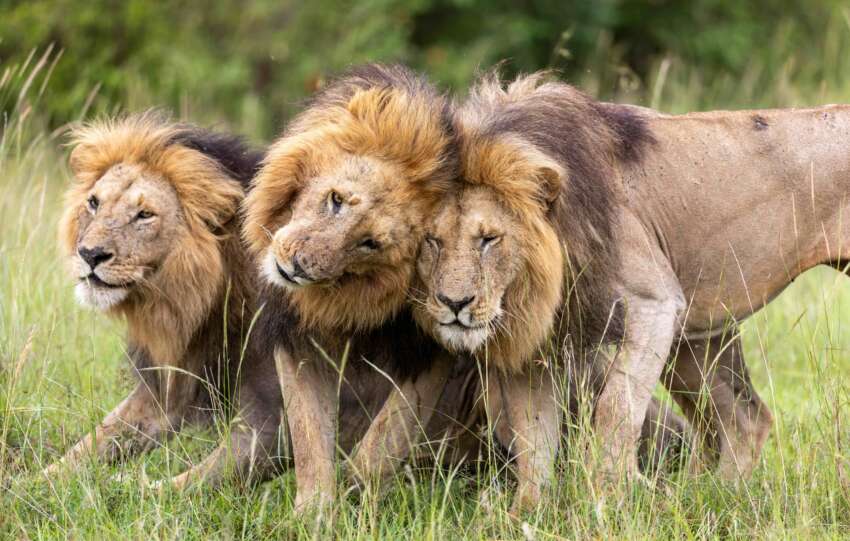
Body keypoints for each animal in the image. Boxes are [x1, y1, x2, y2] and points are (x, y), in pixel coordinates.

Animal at [412, 72, 773, 507]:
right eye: (432, 241)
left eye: (489, 239)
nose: (454, 303)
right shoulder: (535, 339)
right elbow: (532, 433)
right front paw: (528, 510)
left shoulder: (656, 303)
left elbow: (615, 407)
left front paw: (611, 499)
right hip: (700, 336)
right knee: (744, 417)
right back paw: (714, 495)